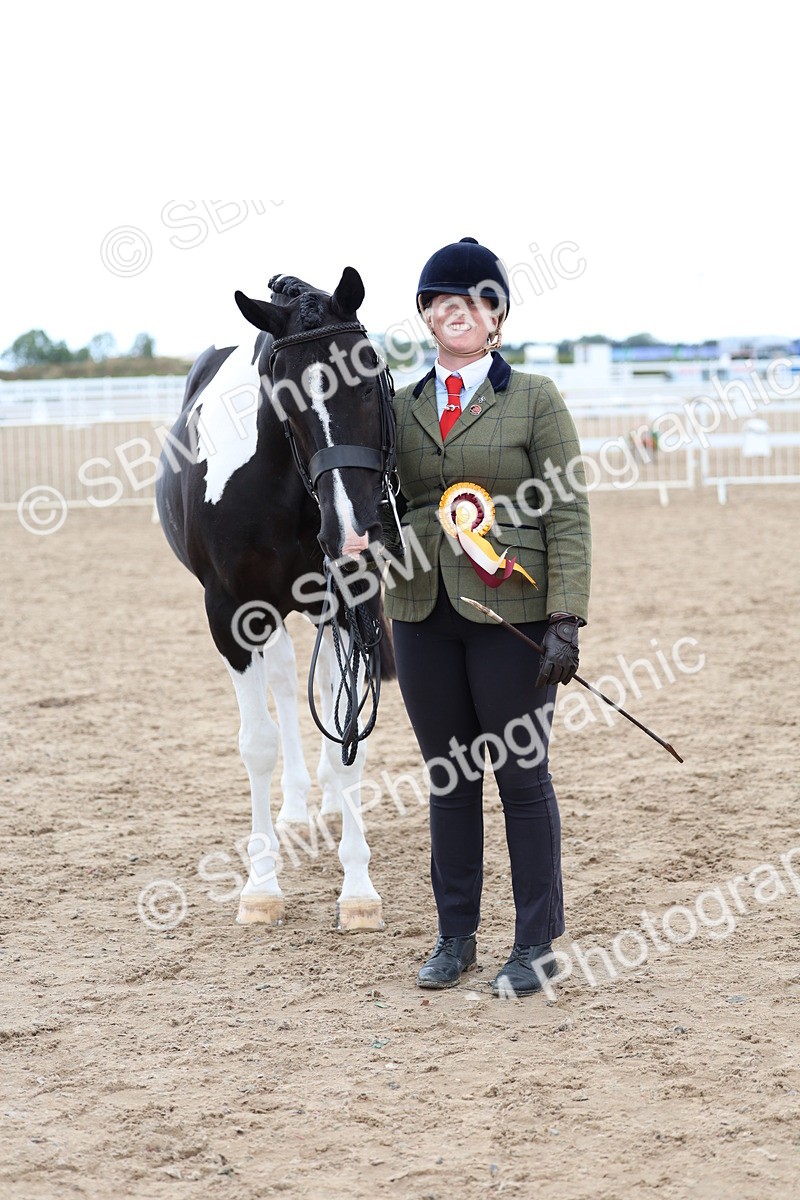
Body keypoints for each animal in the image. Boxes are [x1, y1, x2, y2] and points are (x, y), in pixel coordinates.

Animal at [155, 268, 398, 932]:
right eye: (283, 396)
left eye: (370, 374)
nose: (353, 531)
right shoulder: (232, 614)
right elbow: (258, 744)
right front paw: (260, 886)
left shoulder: (349, 597)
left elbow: (349, 734)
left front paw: (359, 889)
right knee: (288, 685)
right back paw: (293, 808)